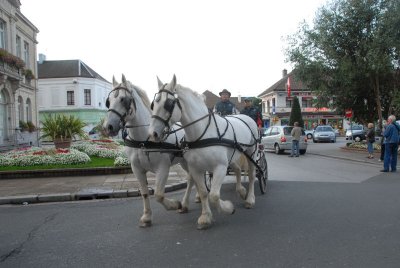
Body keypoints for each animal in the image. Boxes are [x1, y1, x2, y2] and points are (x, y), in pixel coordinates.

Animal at [103, 74, 197, 227]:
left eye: (123, 99)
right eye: (109, 101)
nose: (108, 127)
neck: (143, 139)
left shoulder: (163, 167)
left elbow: (158, 194)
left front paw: (174, 204)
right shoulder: (136, 169)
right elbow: (145, 192)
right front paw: (147, 216)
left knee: (192, 178)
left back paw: (185, 203)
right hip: (184, 161)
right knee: (193, 177)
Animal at [148, 74, 260, 229]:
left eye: (168, 104)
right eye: (153, 104)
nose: (153, 134)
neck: (202, 133)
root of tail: (245, 117)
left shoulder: (220, 167)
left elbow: (214, 195)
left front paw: (228, 208)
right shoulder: (196, 169)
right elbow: (203, 193)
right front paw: (206, 217)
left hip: (251, 152)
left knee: (251, 175)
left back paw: (250, 199)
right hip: (232, 157)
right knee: (238, 169)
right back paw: (241, 191)